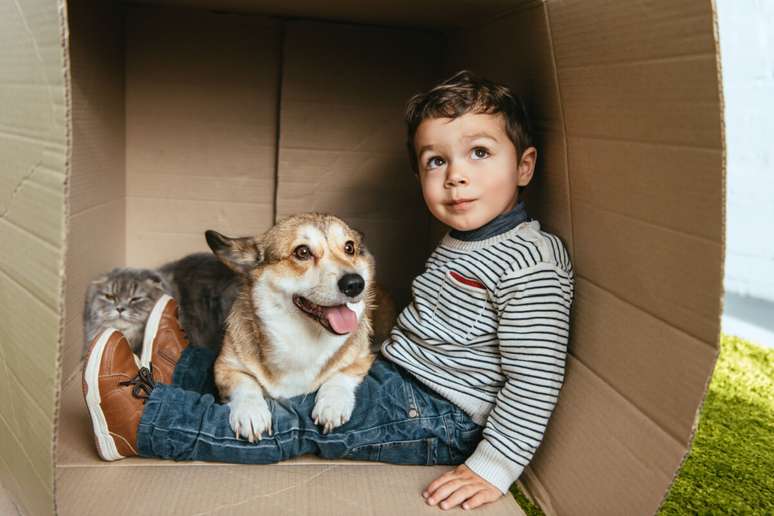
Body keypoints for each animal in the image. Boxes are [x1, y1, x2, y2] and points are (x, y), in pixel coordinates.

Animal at [205, 212, 378, 442]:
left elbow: (340, 375)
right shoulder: (224, 366)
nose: (355, 284)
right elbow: (245, 382)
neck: (304, 336)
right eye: (302, 252)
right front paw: (251, 411)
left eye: (349, 247)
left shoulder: (363, 358)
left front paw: (332, 403)